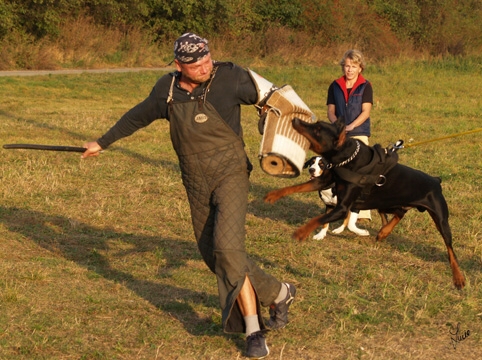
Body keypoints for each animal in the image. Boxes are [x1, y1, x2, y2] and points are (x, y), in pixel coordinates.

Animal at [266, 118, 466, 290]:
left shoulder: (342, 207)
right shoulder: (325, 181)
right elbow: (297, 187)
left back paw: (458, 278)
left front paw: (300, 233)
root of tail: (436, 180)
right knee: (400, 213)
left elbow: (318, 219)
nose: (295, 120)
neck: (348, 159)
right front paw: (273, 195)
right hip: (387, 203)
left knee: (450, 250)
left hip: (440, 219)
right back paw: (384, 232)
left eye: (317, 129)